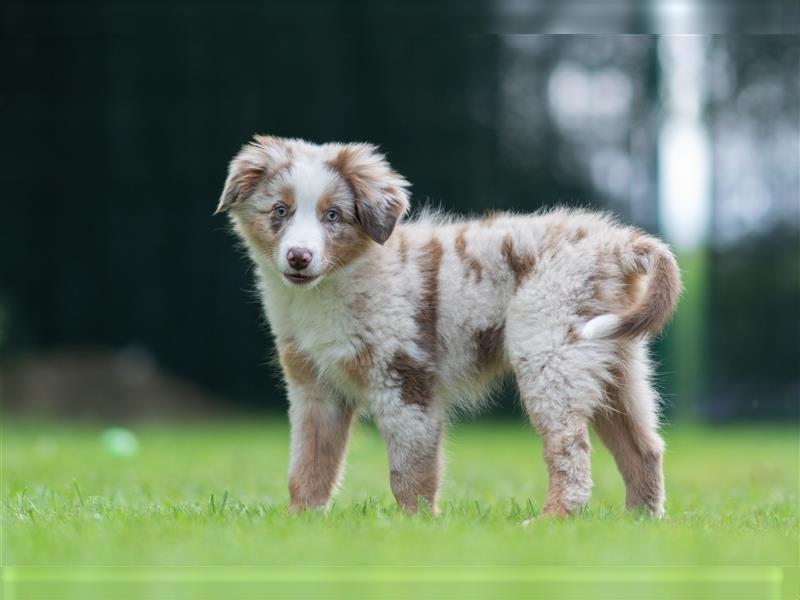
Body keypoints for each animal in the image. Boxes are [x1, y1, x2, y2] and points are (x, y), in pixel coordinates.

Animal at [216, 136, 680, 516]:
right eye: (281, 211)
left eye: (333, 216)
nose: (299, 257)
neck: (332, 286)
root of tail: (615, 243)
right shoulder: (314, 388)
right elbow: (309, 467)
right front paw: (301, 524)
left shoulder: (405, 380)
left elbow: (410, 472)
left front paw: (416, 527)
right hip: (614, 365)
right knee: (645, 449)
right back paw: (639, 523)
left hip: (550, 356)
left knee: (571, 455)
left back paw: (550, 521)